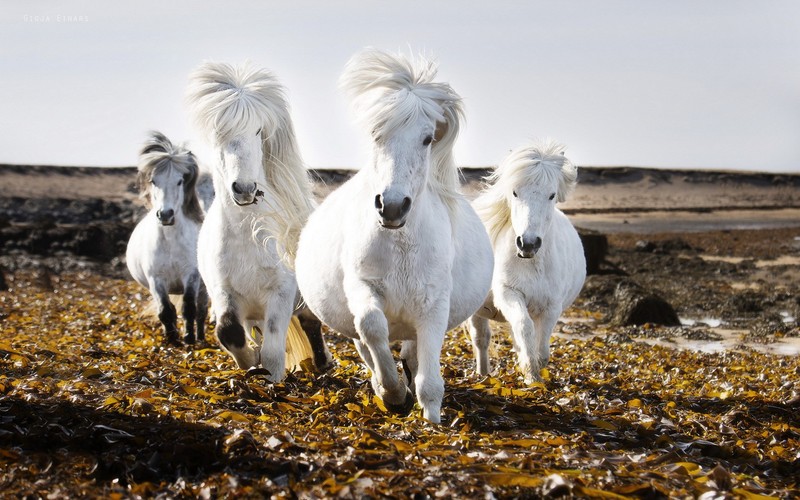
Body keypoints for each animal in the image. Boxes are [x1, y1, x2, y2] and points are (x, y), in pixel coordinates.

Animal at [126, 131, 208, 346]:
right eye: (154, 181)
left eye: (180, 181)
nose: (165, 215)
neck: (171, 242)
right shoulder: (156, 280)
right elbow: (165, 311)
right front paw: (172, 339)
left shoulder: (191, 276)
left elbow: (189, 308)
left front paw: (189, 338)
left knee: (202, 311)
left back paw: (200, 337)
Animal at [187, 60, 332, 380]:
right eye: (219, 133)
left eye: (257, 131)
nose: (244, 189)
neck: (248, 236)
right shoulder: (224, 294)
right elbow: (229, 333)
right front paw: (250, 366)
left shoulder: (280, 294)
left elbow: (274, 352)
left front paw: (272, 380)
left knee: (311, 324)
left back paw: (323, 363)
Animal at [294, 49, 494, 422]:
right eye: (376, 133)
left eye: (427, 138)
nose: (392, 207)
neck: (402, 246)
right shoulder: (363, 288)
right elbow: (372, 327)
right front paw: (393, 394)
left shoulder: (433, 304)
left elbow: (429, 380)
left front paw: (431, 419)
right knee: (367, 344)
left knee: (412, 354)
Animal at [466, 140, 584, 382]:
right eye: (514, 192)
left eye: (552, 195)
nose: (528, 244)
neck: (532, 265)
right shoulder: (509, 294)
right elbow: (524, 326)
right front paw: (531, 375)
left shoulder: (552, 306)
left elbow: (542, 346)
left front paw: (536, 373)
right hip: (478, 310)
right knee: (481, 339)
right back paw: (483, 375)